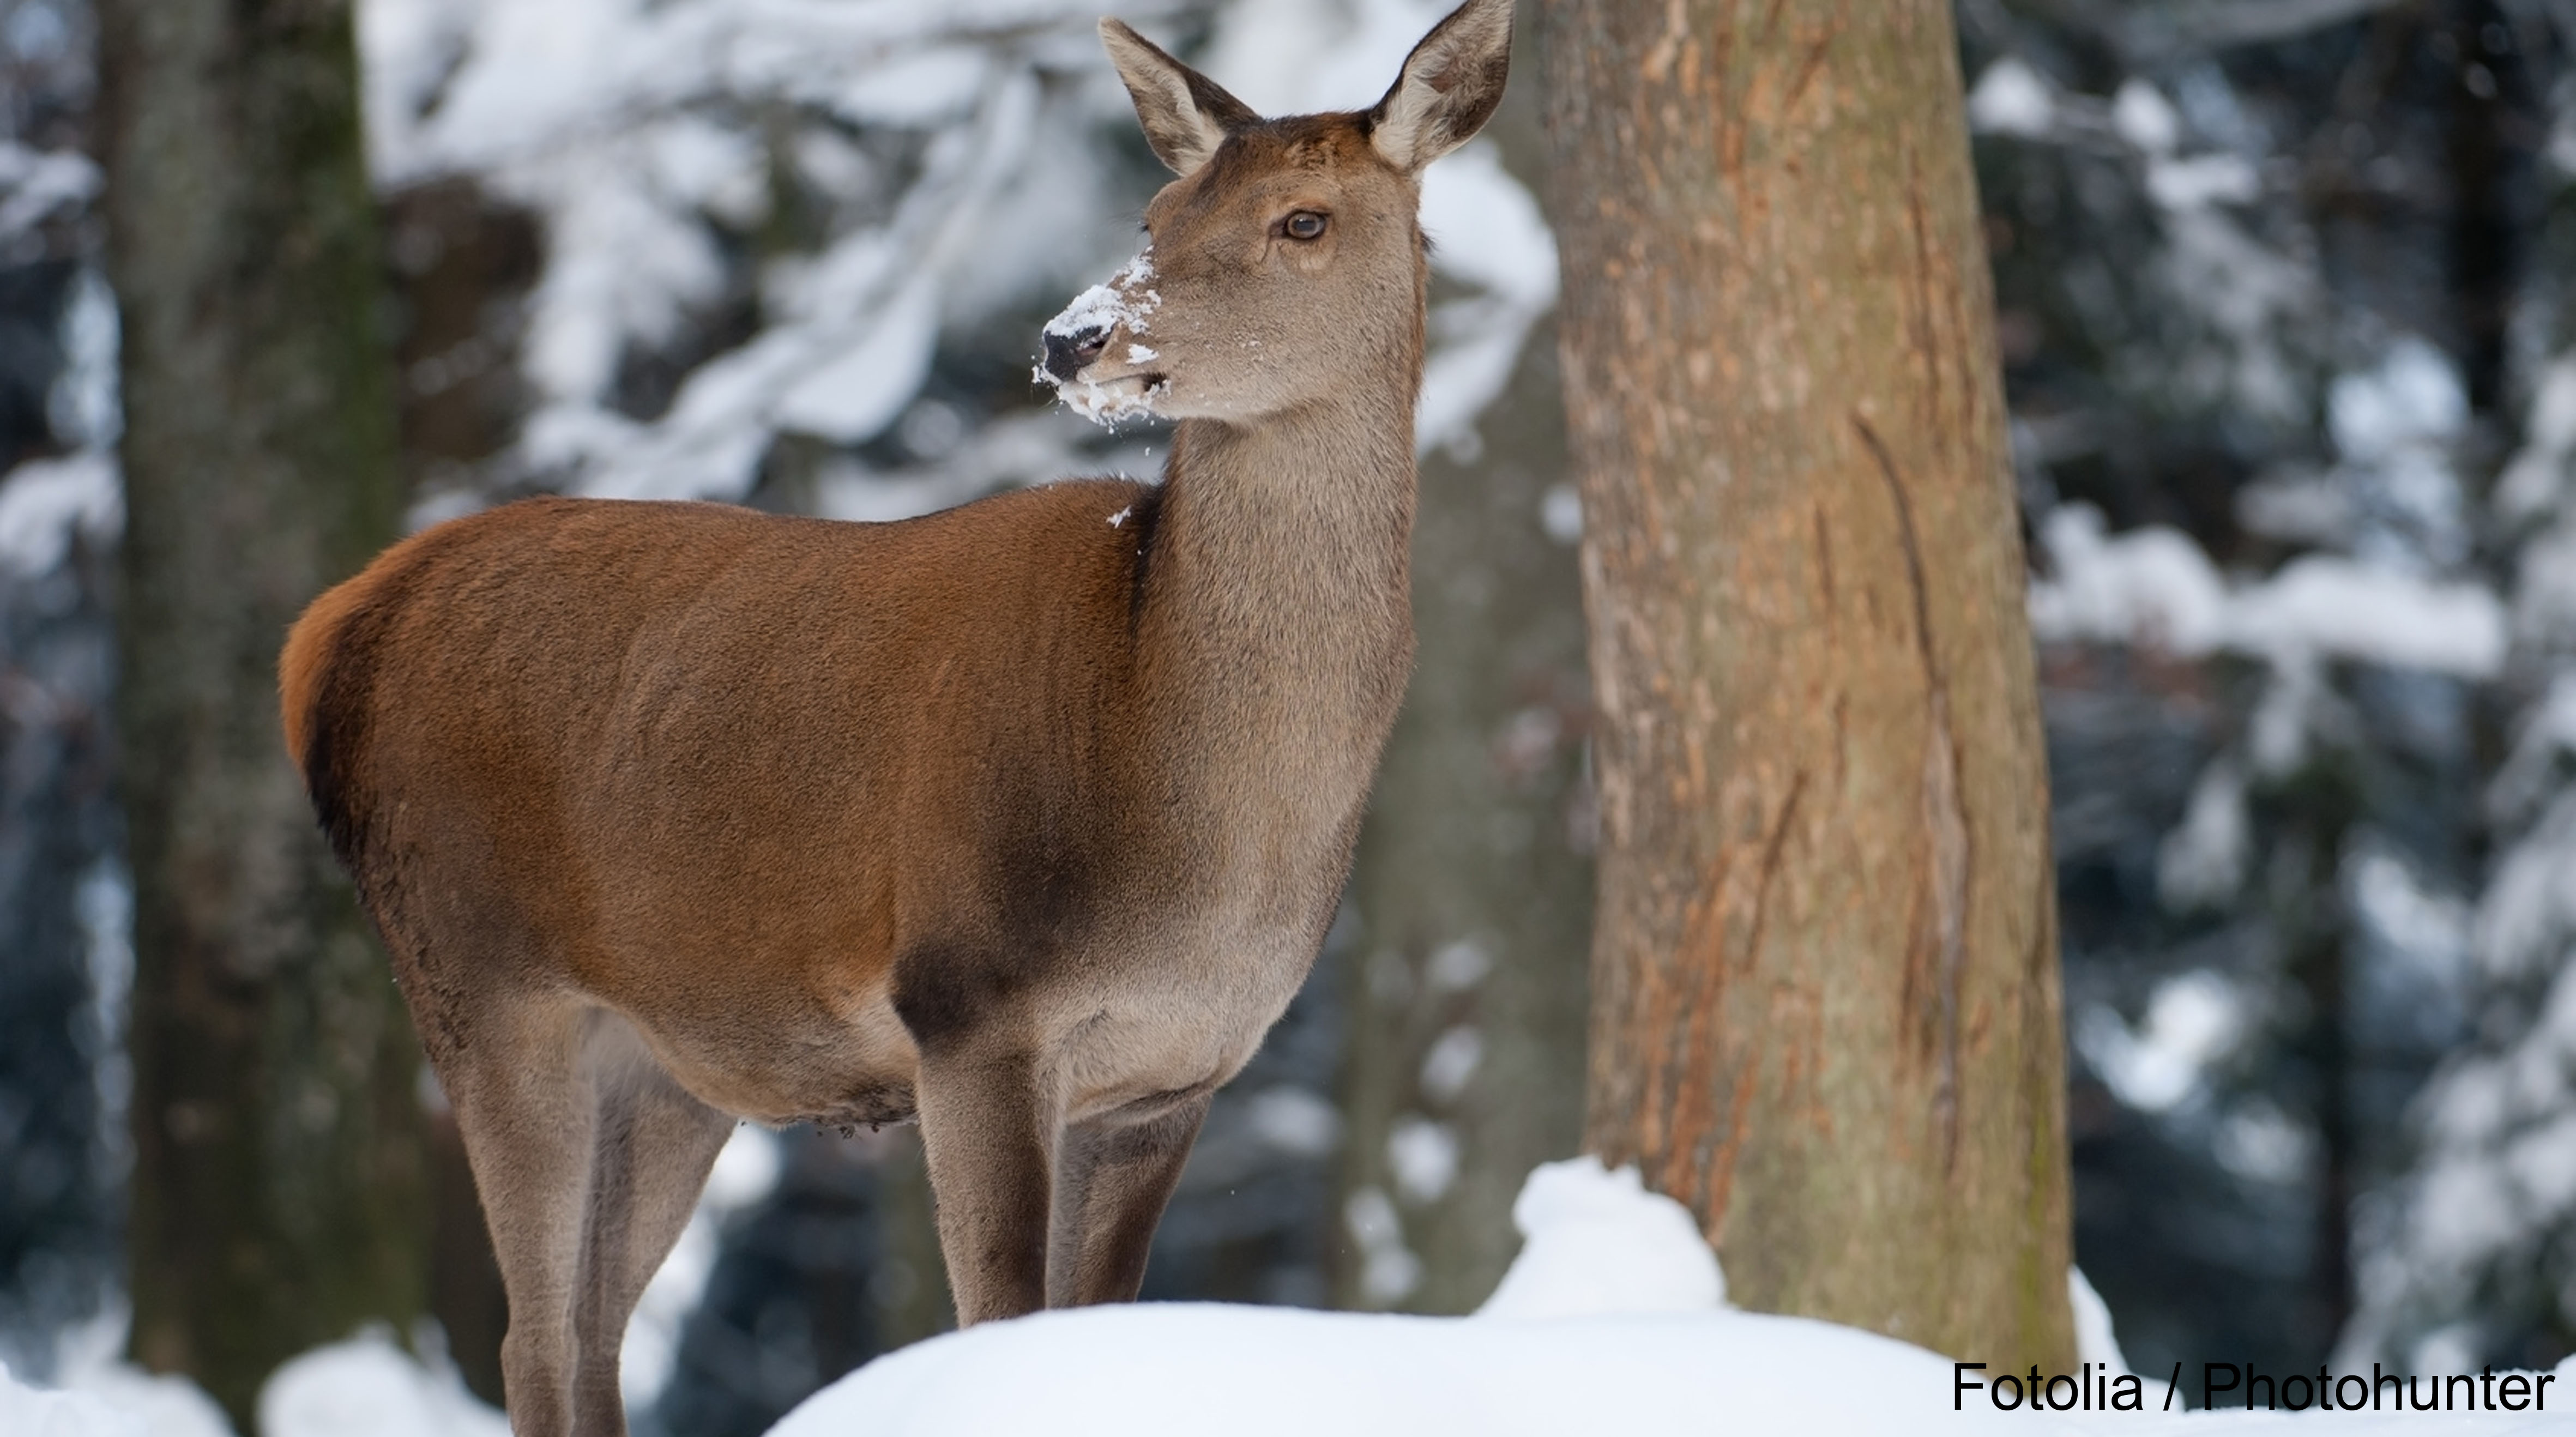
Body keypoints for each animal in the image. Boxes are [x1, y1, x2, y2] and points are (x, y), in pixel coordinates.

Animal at [276, 5, 1504, 1432]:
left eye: (1304, 219)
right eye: (1154, 213)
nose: (1071, 337)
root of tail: (337, 625)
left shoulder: (1174, 1071)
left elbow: (1084, 1321)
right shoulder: (969, 993)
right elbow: (998, 1316)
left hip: (663, 1055)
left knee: (591, 1327)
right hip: (478, 966)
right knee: (531, 1336)